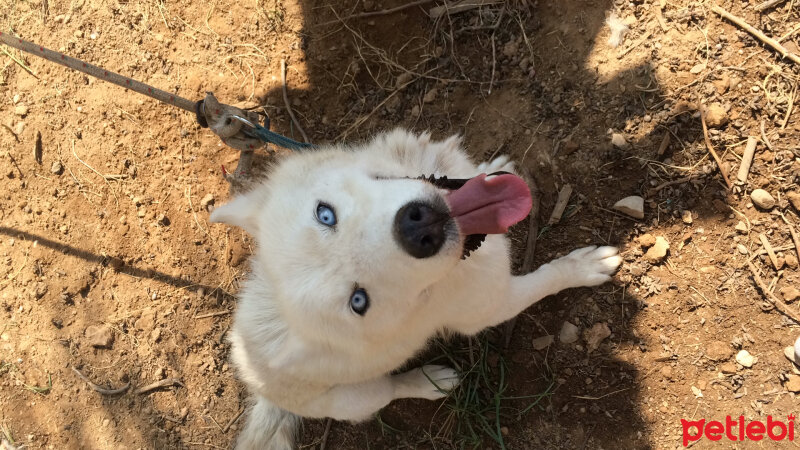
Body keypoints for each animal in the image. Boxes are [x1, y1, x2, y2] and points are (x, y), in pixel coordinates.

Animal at [209, 128, 620, 448]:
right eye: (358, 301)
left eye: (324, 215)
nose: (418, 228)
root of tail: (257, 381)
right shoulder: (495, 304)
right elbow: (550, 277)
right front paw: (588, 267)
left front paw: (489, 169)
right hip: (360, 396)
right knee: (390, 391)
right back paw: (431, 382)